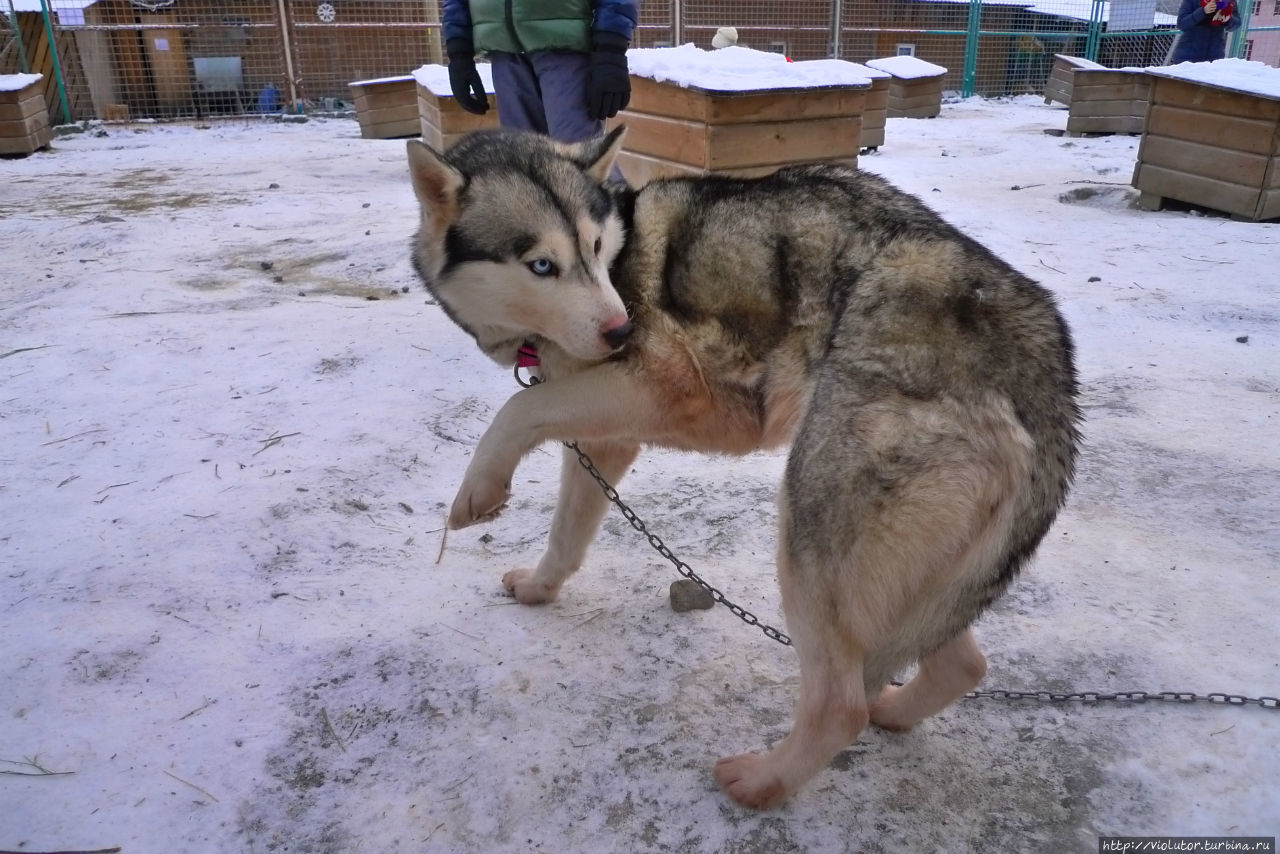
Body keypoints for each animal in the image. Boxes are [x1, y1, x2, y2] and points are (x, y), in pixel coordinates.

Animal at [401, 126, 1080, 809]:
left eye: (594, 249)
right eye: (543, 265)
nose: (621, 332)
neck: (622, 246)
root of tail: (1045, 372)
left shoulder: (662, 388)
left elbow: (517, 409)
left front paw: (476, 494)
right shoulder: (605, 442)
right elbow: (565, 535)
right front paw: (541, 590)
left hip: (811, 542)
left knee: (841, 706)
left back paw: (761, 782)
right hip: (913, 586)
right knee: (960, 665)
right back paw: (893, 712)